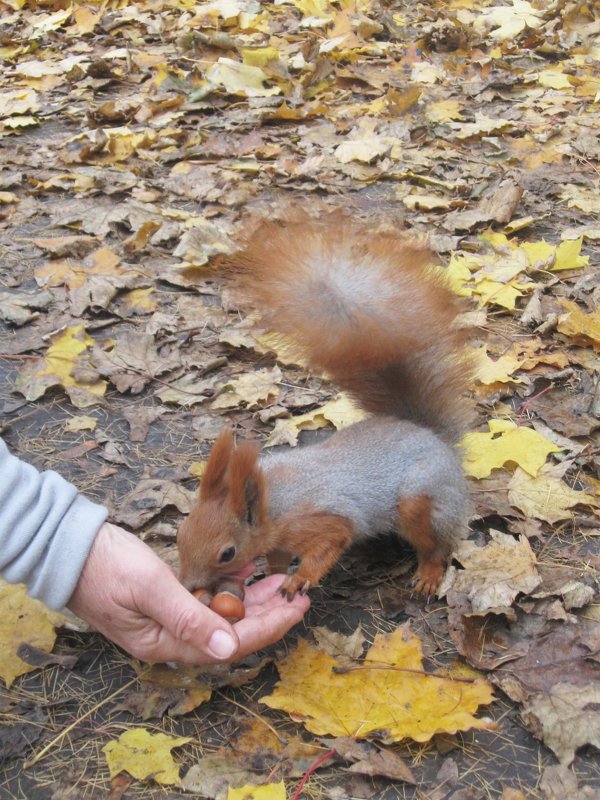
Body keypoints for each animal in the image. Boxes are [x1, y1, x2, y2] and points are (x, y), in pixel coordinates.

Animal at [176, 216, 476, 596]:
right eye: (181, 533)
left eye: (227, 553)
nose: (187, 585)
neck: (273, 502)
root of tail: (434, 437)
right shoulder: (277, 541)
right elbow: (276, 559)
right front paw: (272, 576)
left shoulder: (321, 520)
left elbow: (329, 543)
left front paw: (300, 579)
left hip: (422, 501)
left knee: (436, 546)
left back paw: (429, 573)